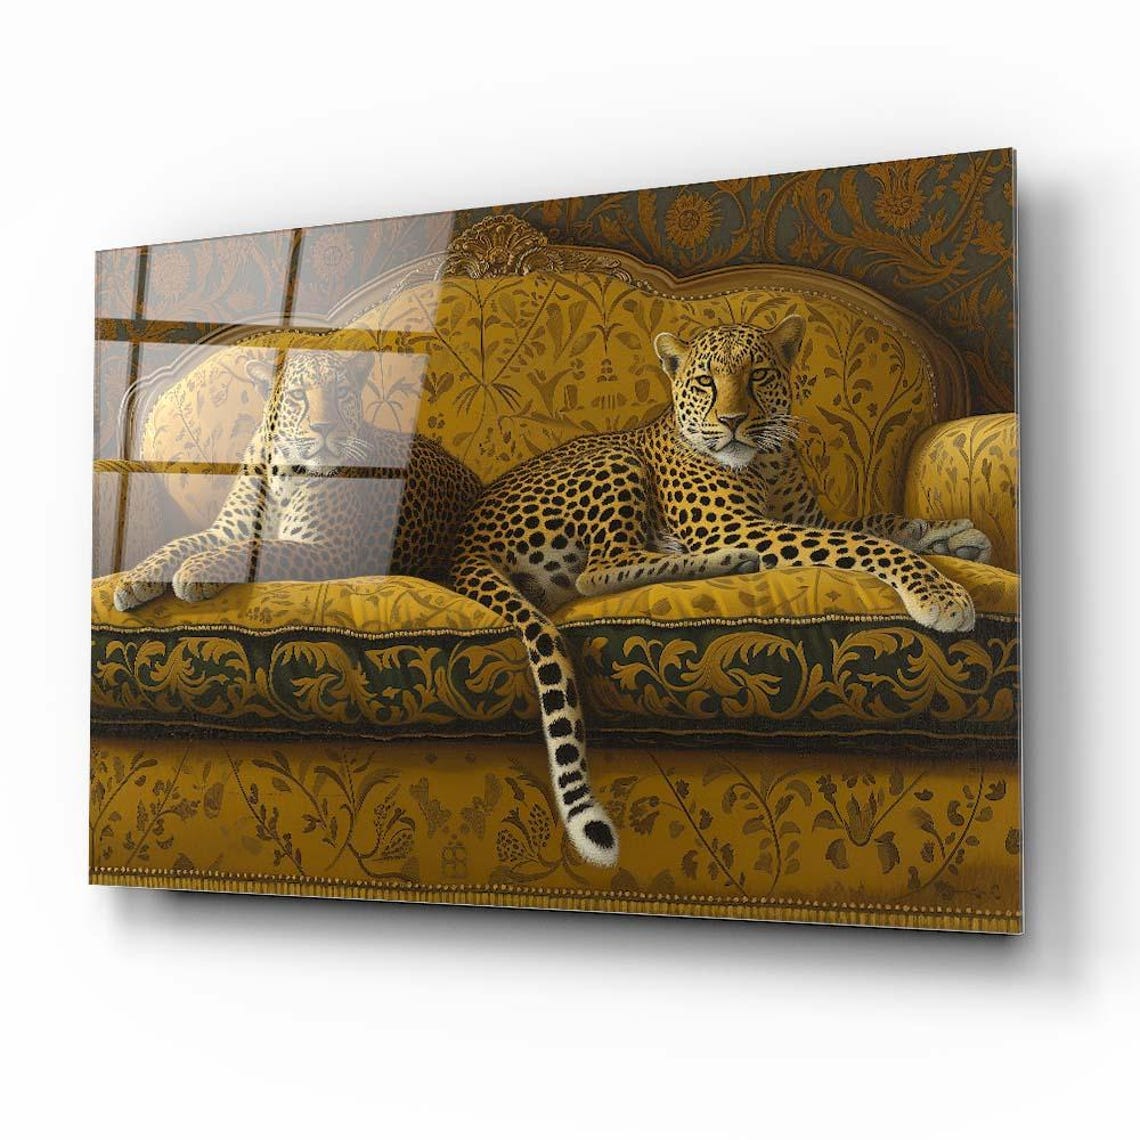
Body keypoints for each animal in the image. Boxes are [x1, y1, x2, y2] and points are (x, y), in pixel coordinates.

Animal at [113, 349, 481, 611]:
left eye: (341, 392)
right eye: (298, 396)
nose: (324, 427)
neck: (285, 474)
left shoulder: (330, 548)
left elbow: (258, 548)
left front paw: (197, 569)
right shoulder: (227, 530)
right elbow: (177, 543)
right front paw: (135, 579)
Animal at [451, 317, 993, 868]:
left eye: (758, 376)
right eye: (706, 382)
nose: (733, 420)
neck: (769, 463)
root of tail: (464, 541)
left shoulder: (808, 520)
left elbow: (878, 523)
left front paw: (952, 534)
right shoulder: (739, 525)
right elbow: (861, 542)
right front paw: (938, 592)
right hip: (616, 459)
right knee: (599, 570)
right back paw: (727, 560)